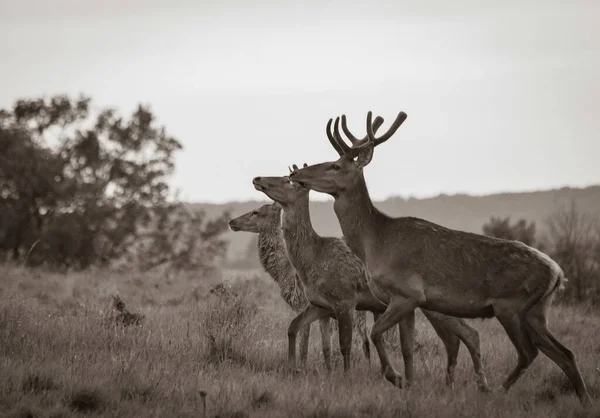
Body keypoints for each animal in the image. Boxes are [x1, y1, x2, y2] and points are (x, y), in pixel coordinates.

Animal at [229, 202, 372, 370]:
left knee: (366, 338)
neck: (285, 275)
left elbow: (304, 347)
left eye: (255, 212)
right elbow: (324, 347)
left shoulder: (303, 304)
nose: (232, 222)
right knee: (367, 339)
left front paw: (301, 369)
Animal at [288, 111, 592, 408]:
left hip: (511, 305)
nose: (296, 173)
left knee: (529, 352)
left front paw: (395, 377)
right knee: (564, 352)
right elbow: (407, 348)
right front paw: (408, 386)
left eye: (335, 166)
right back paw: (584, 400)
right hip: (537, 311)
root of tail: (557, 272)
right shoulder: (404, 300)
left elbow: (376, 333)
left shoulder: (407, 293)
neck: (375, 242)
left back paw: (497, 390)